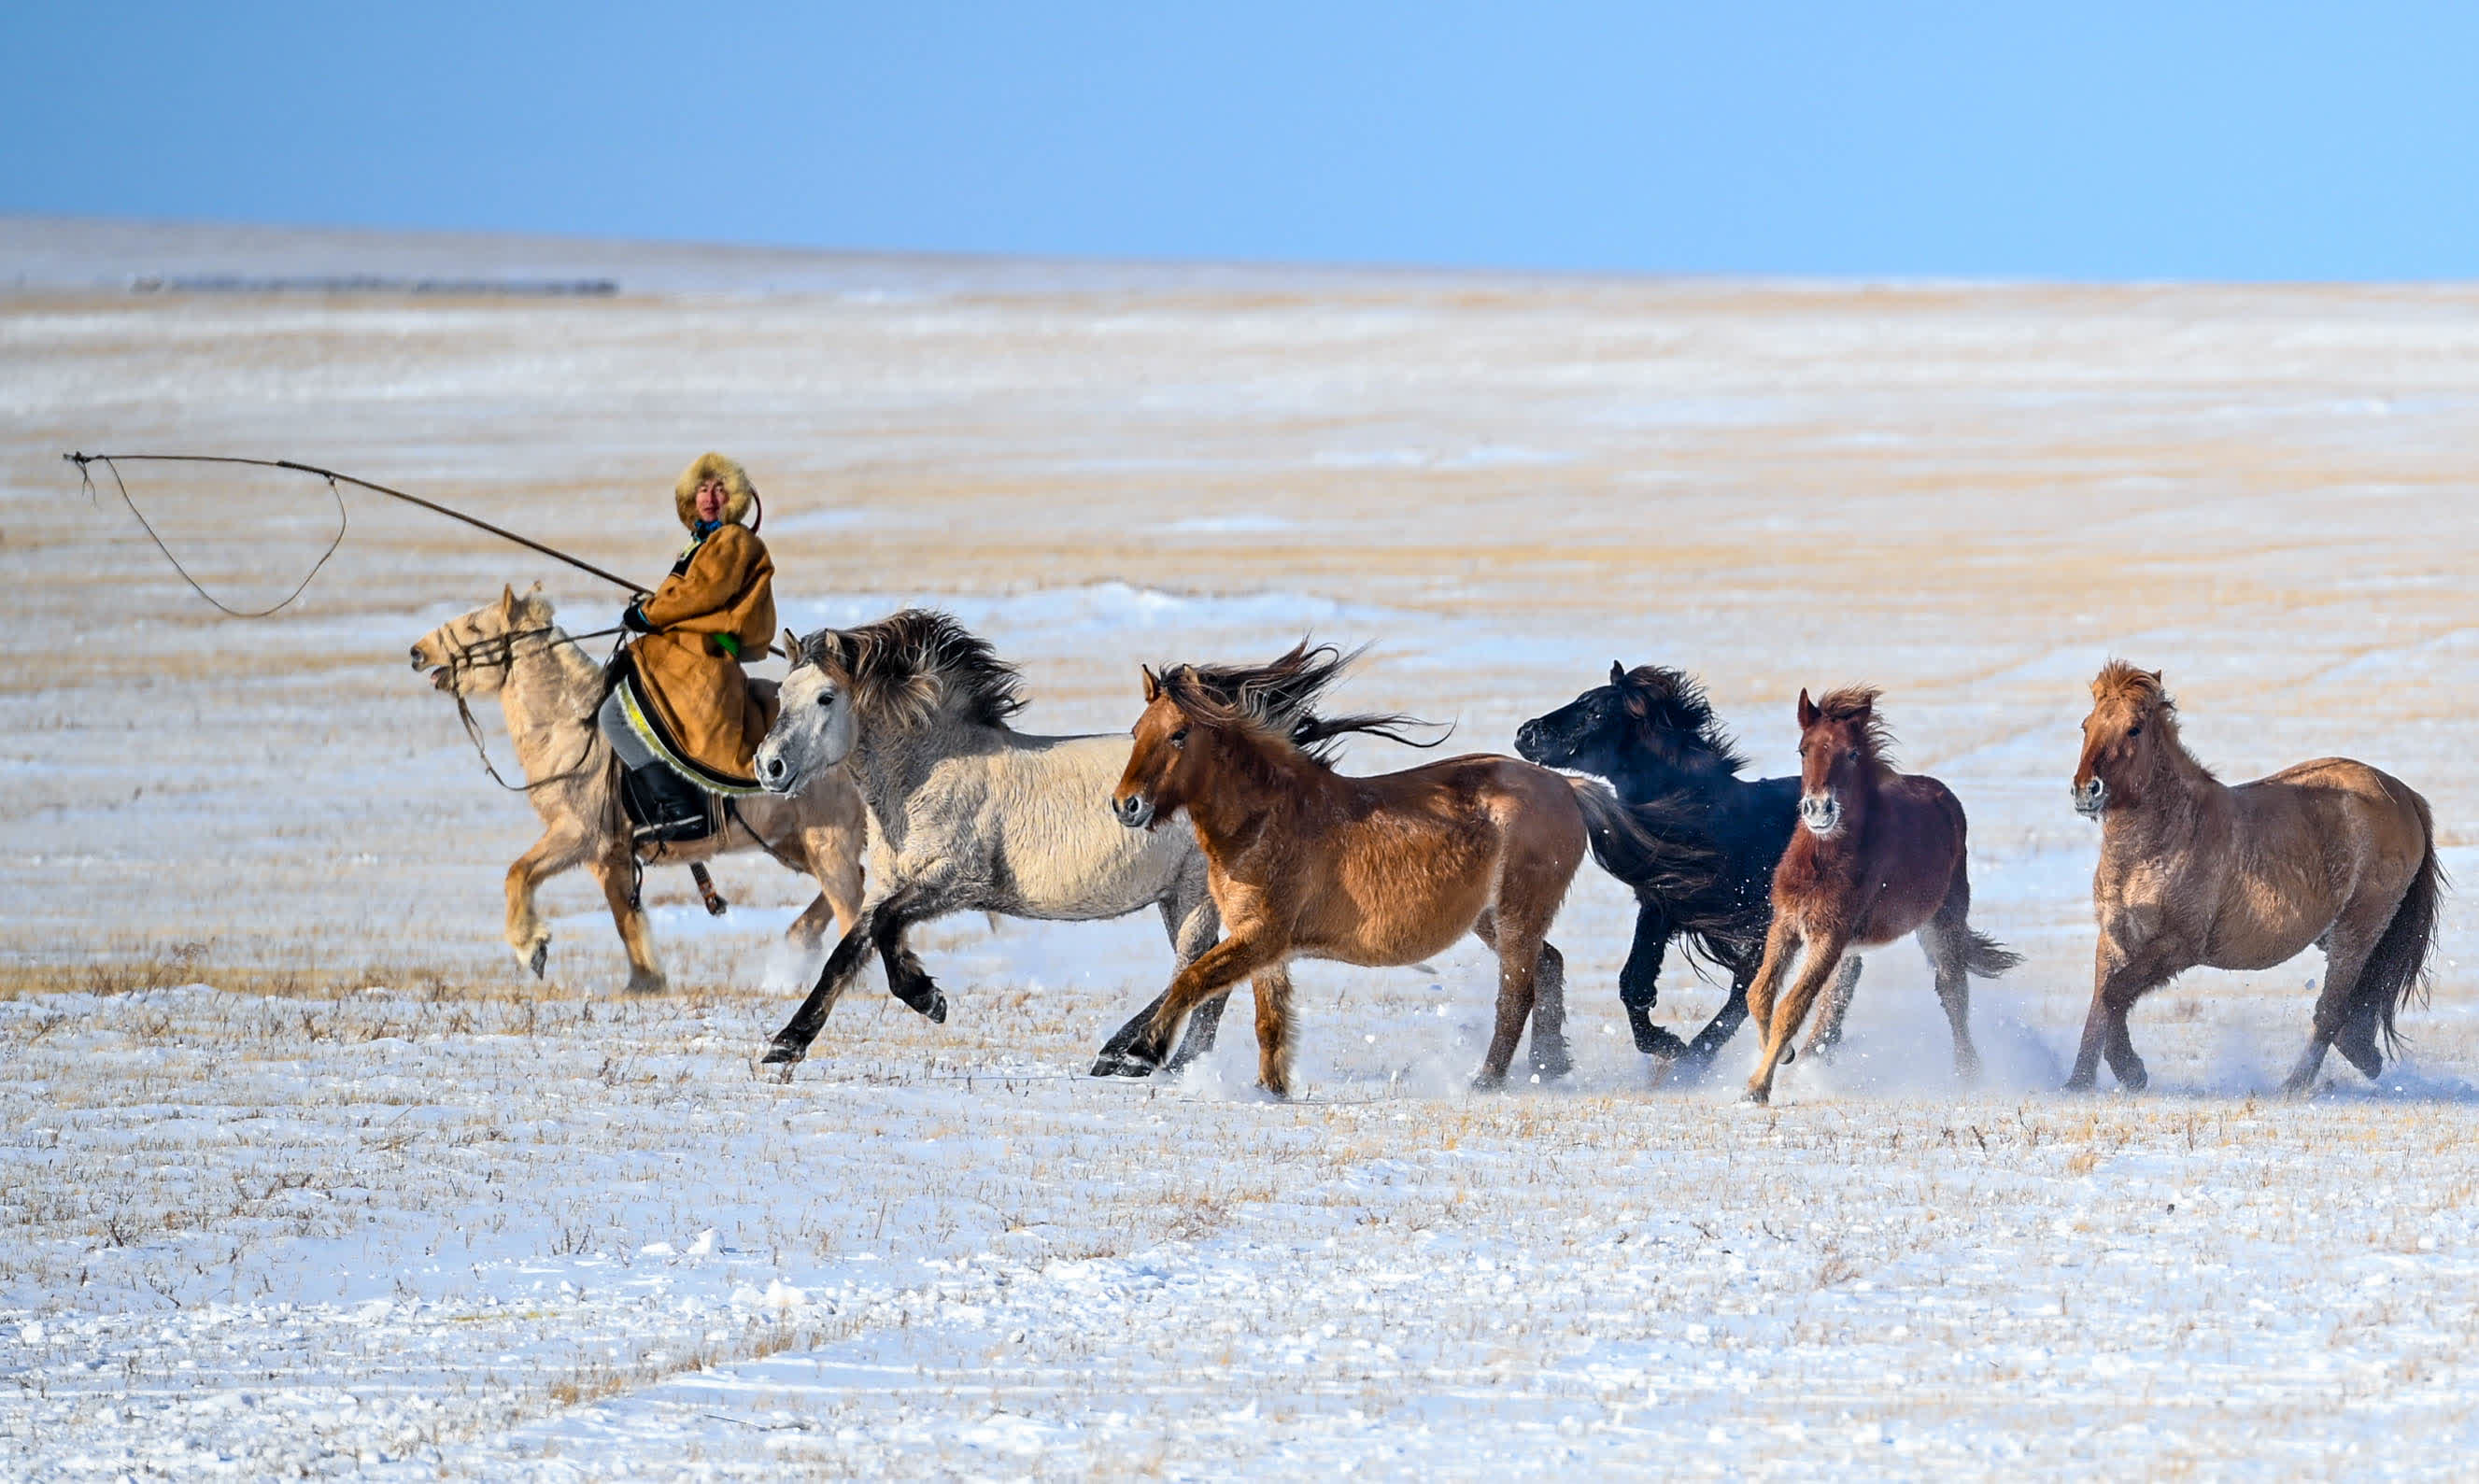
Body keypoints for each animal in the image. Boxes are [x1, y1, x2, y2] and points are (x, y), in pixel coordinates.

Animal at [411, 587, 867, 991]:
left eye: (474, 626)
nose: (417, 652)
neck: (574, 728)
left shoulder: (580, 835)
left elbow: (519, 873)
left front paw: (531, 948)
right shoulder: (610, 856)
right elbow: (625, 918)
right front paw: (645, 981)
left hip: (826, 840)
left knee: (849, 897)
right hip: (792, 842)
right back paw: (799, 946)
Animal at [1090, 643, 1685, 1095]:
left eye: (1179, 734)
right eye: (1137, 730)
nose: (1126, 805)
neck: (1266, 819)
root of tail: (1567, 785)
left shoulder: (1262, 934)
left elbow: (1192, 980)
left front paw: (1141, 1052)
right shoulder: (1262, 944)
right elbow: (1268, 1022)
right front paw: (1271, 1090)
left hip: (1518, 913)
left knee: (1517, 993)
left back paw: (1487, 1081)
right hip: (1490, 919)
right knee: (1549, 967)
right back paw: (1548, 1068)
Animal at [1507, 669, 1863, 1075]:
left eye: (1595, 711)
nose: (1526, 733)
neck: (1712, 819)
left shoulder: (1762, 921)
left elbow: (1746, 987)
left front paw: (1689, 1056)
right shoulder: (1662, 907)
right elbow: (1635, 983)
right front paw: (1668, 1045)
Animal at [1735, 688, 2022, 1105]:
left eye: (1852, 753)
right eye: (1803, 750)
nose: (1818, 809)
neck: (1823, 859)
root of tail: (1945, 798)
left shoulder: (1830, 935)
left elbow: (1792, 1006)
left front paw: (1757, 1088)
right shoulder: (1787, 923)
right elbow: (1760, 994)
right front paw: (1782, 1054)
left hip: (1942, 921)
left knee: (1952, 991)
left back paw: (1969, 1073)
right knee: (1837, 997)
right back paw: (1810, 1058)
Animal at [2052, 669, 2439, 1095]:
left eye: (2133, 729)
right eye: (2086, 726)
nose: (2086, 790)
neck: (2164, 838)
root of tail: (2404, 794)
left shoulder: (2180, 945)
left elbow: (2114, 995)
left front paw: (2130, 1071)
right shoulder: (2114, 938)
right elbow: (2101, 1006)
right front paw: (2078, 1083)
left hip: (2357, 931)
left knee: (2331, 1011)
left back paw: (2293, 1086)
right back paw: (2363, 1058)